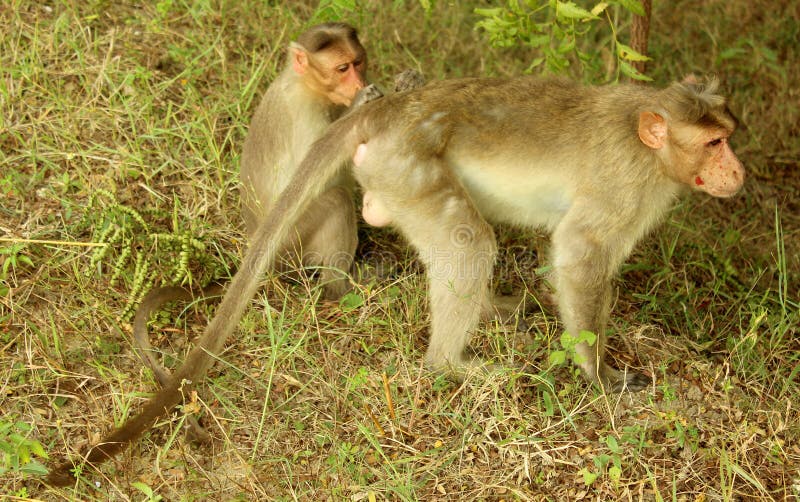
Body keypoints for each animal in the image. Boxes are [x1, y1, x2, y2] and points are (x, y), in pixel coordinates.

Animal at [47, 75, 744, 486]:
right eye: (713, 143)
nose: (737, 171)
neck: (648, 143)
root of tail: (386, 112)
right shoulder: (628, 187)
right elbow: (579, 255)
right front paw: (603, 378)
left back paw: (492, 310)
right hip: (405, 166)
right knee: (467, 242)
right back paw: (451, 365)